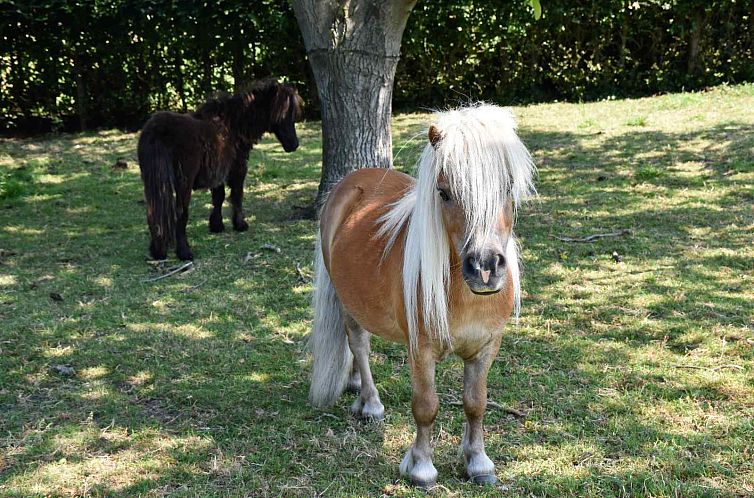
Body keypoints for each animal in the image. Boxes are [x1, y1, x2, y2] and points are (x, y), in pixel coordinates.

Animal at [137, 79, 302, 260]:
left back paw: (157, 250)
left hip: (151, 181)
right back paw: (184, 252)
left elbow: (218, 197)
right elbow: (237, 195)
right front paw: (240, 224)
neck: (234, 124)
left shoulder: (218, 171)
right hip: (183, 182)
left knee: (153, 210)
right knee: (180, 212)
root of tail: (158, 130)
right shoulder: (237, 168)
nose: (294, 145)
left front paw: (216, 225)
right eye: (284, 114)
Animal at [306, 104, 536, 486]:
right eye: (443, 192)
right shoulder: (421, 350)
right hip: (347, 303)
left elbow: (476, 403)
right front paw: (421, 467)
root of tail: (349, 184)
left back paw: (354, 385)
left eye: (508, 186)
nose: (485, 267)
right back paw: (370, 403)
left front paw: (478, 463)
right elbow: (426, 407)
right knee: (359, 344)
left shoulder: (486, 348)